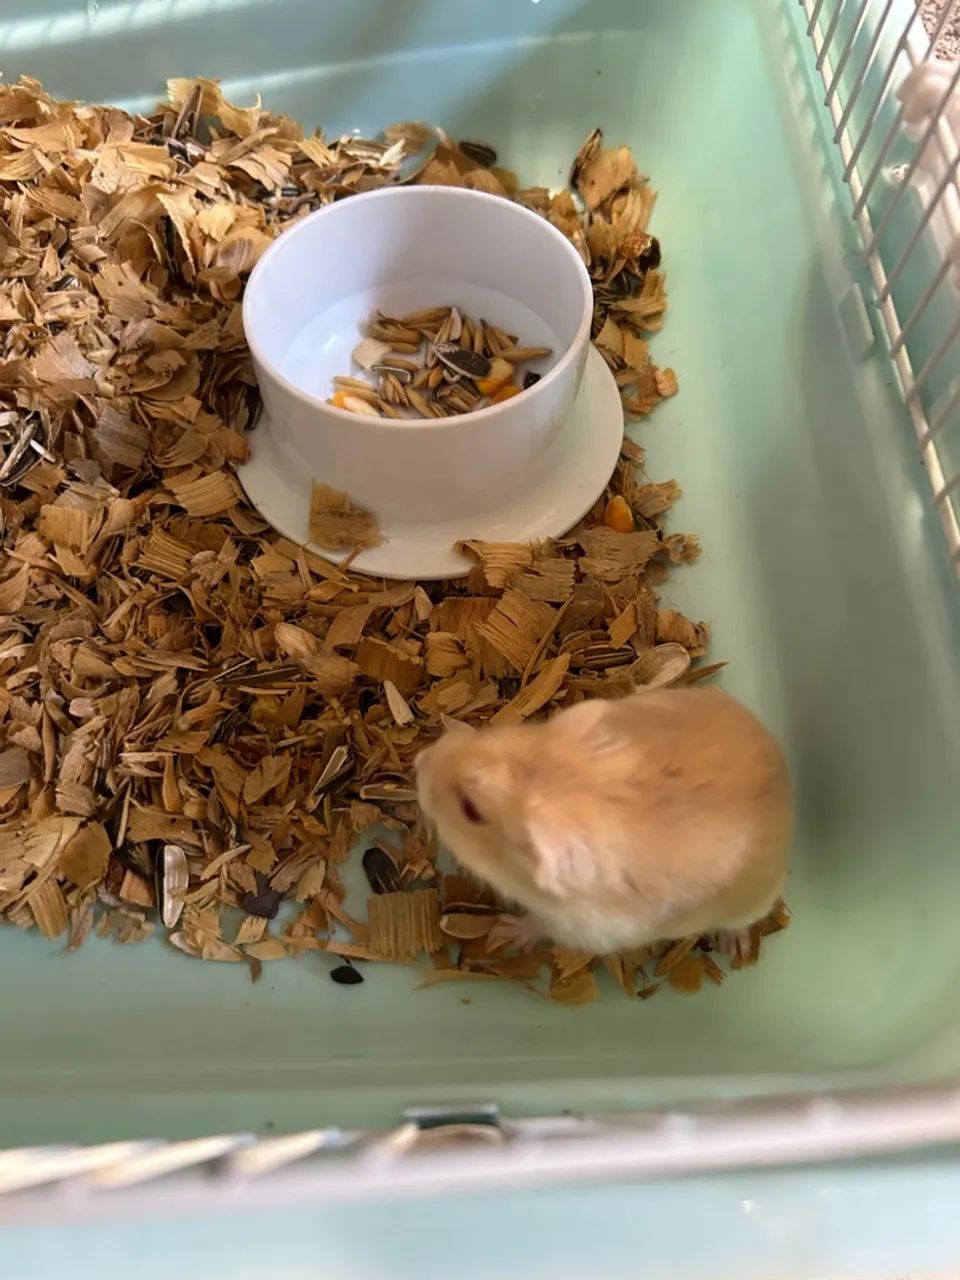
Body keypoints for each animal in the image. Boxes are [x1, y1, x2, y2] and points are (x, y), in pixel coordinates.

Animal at [415, 686, 792, 956]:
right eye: (495, 735)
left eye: (470, 810)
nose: (418, 762)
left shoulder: (580, 927)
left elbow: (538, 925)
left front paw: (504, 932)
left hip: (754, 902)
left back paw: (734, 948)